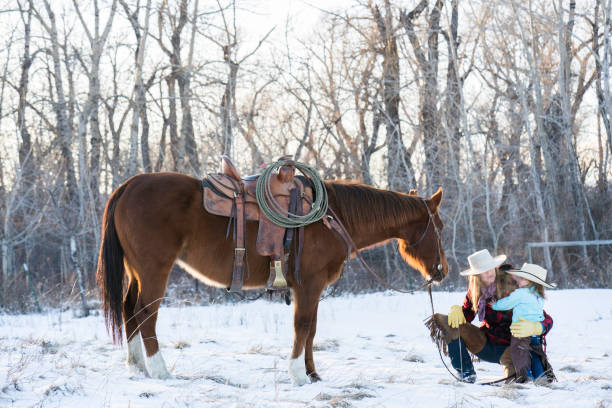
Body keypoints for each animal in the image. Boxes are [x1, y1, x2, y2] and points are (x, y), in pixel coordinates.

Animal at [97, 172, 450, 382]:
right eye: (440, 226)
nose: (441, 271)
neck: (331, 217)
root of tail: (128, 185)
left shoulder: (313, 289)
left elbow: (312, 330)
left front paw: (312, 373)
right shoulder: (308, 285)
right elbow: (303, 327)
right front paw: (297, 373)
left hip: (137, 271)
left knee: (129, 309)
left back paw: (136, 365)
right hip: (155, 270)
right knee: (146, 313)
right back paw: (159, 370)